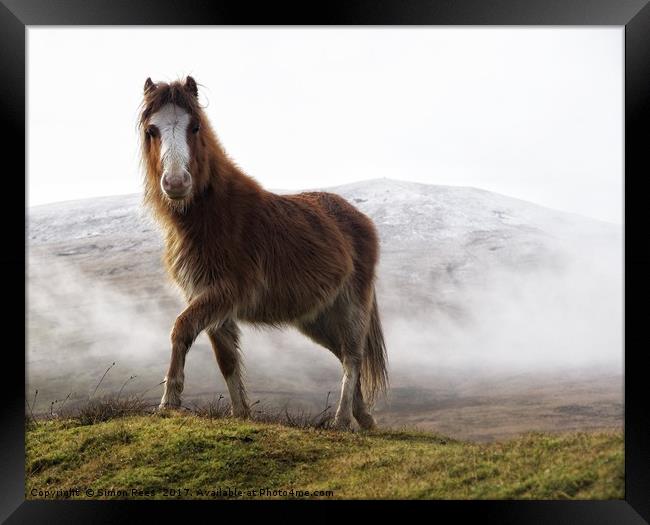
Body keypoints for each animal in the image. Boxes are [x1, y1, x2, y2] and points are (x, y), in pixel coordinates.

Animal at [137, 75, 388, 428]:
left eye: (195, 126)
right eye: (152, 130)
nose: (175, 183)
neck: (212, 214)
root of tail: (360, 219)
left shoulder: (225, 291)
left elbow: (182, 328)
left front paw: (169, 401)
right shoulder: (208, 298)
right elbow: (227, 359)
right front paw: (241, 414)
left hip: (351, 305)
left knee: (352, 357)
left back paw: (340, 421)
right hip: (317, 317)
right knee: (345, 356)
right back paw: (364, 419)